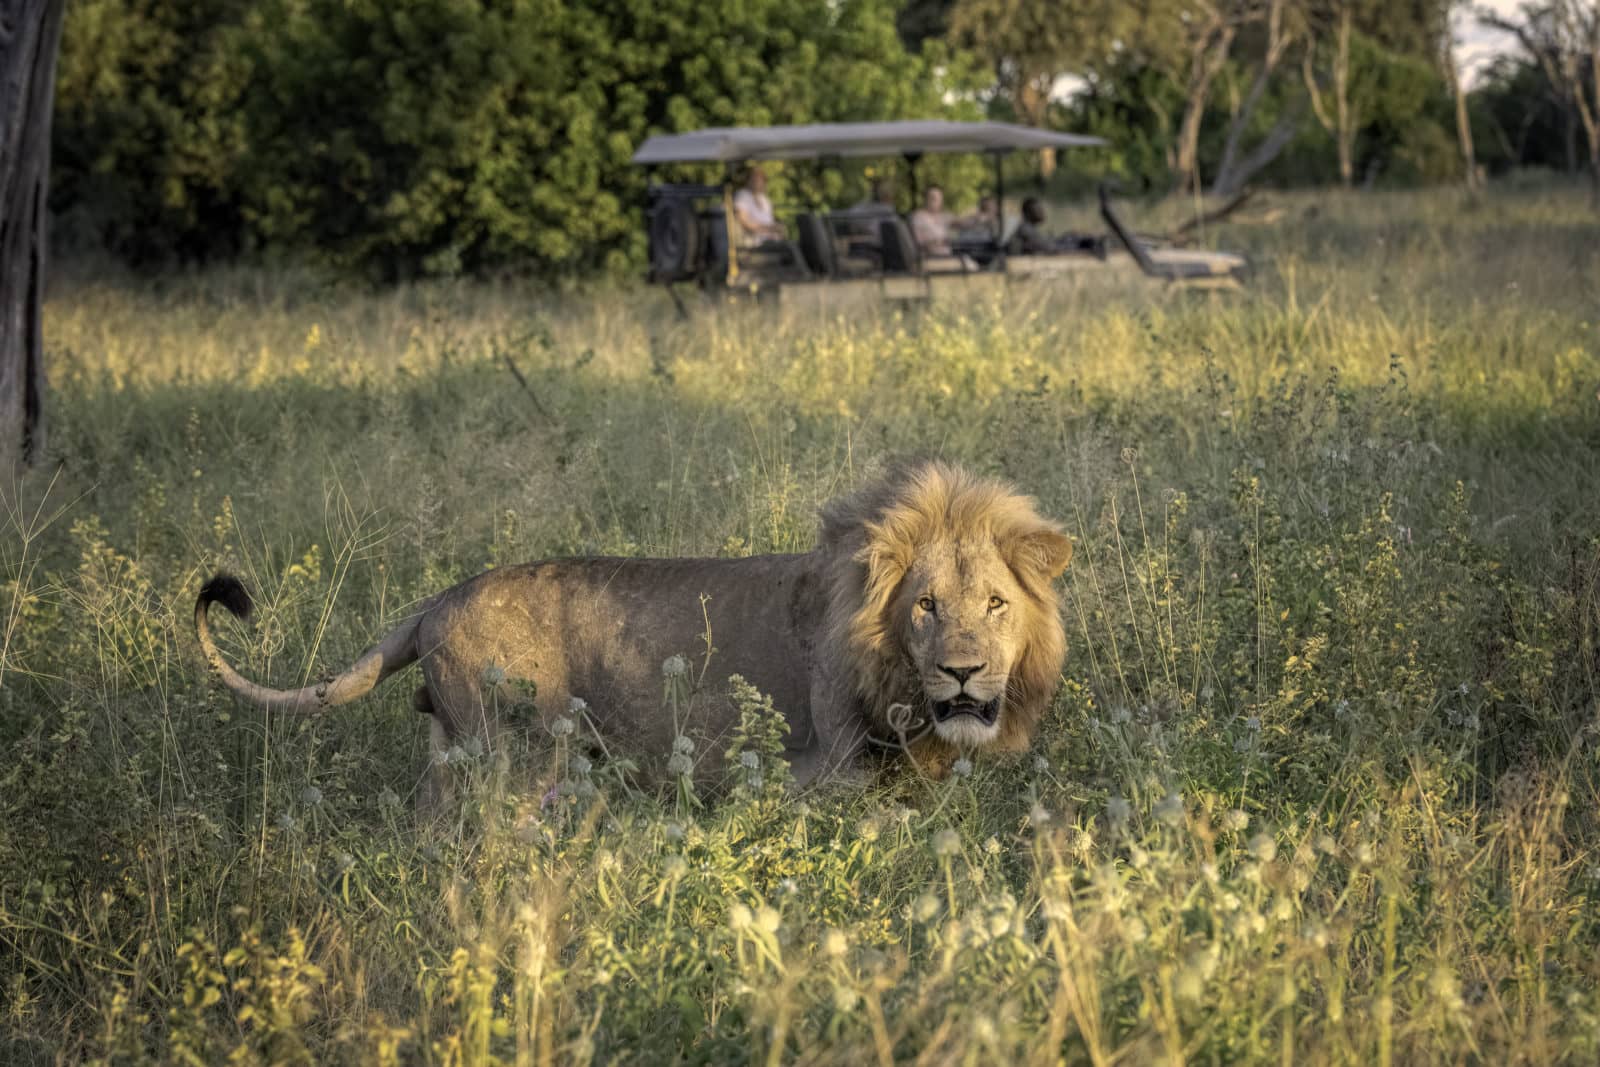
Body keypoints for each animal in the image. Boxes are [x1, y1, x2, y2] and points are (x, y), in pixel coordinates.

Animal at [194, 460, 1072, 793]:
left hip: (454, 749)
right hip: (513, 755)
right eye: (926, 605)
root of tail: (436, 599)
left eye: (997, 604)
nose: (962, 671)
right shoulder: (828, 770)